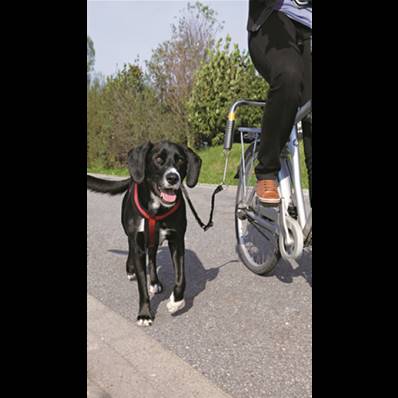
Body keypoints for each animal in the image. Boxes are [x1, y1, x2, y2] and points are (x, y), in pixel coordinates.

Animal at [86, 141, 201, 326]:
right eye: (158, 159)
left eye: (181, 160)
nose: (173, 178)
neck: (157, 209)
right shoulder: (137, 243)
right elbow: (141, 285)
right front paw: (145, 314)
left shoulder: (177, 240)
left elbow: (181, 277)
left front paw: (175, 302)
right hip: (130, 233)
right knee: (131, 249)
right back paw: (131, 269)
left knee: (152, 257)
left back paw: (154, 282)